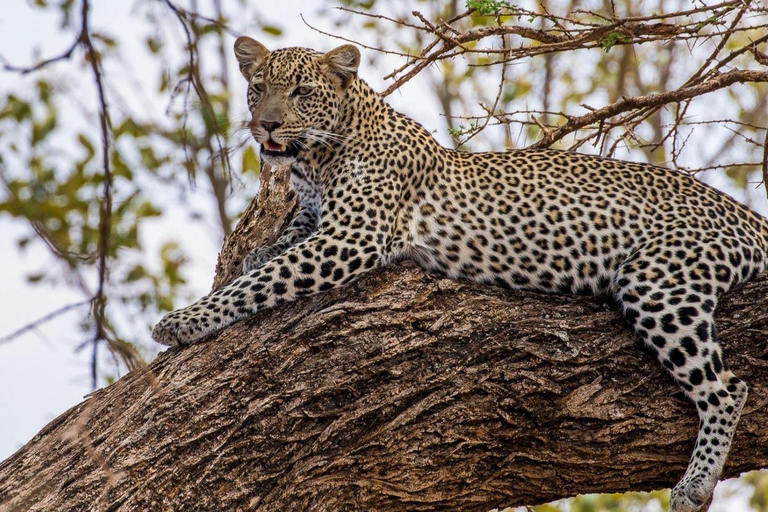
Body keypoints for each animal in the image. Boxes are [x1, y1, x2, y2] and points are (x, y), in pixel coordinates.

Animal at [152, 37, 768, 512]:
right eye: (258, 87)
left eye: (302, 92)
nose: (267, 125)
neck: (316, 162)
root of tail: (749, 216)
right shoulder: (316, 220)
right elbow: (273, 249)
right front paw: (247, 259)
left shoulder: (353, 237)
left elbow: (262, 282)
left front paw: (183, 322)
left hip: (657, 281)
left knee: (727, 389)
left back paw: (694, 483)